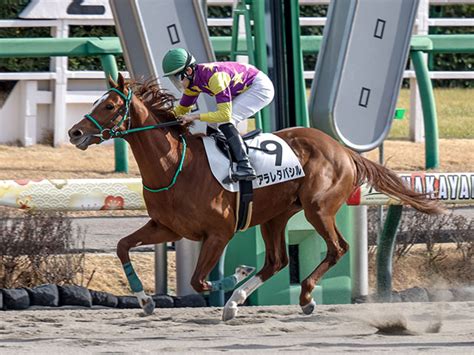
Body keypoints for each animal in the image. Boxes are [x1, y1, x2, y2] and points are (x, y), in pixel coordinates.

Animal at [68, 73, 442, 322]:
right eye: (96, 102)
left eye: (110, 105)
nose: (74, 132)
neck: (175, 164)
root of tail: (342, 150)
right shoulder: (167, 227)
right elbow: (122, 247)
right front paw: (145, 300)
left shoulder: (219, 232)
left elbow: (198, 280)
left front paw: (237, 274)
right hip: (276, 215)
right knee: (277, 260)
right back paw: (239, 301)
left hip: (318, 208)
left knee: (337, 248)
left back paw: (304, 296)